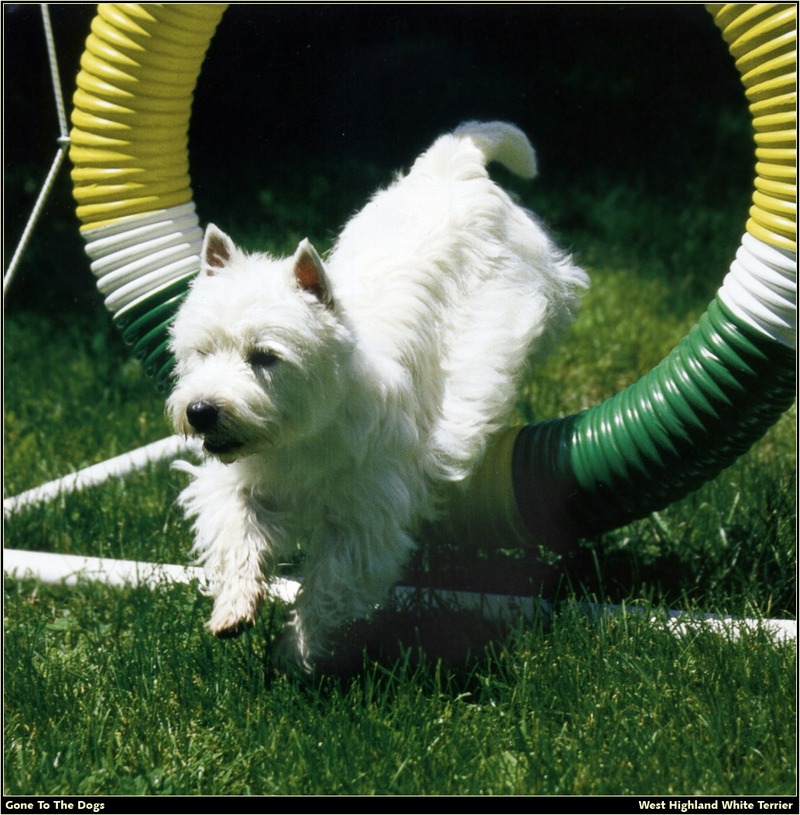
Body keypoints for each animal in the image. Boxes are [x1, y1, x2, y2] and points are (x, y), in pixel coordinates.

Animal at [167, 119, 588, 668]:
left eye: (264, 356)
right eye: (200, 351)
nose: (200, 411)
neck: (304, 434)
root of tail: (453, 163)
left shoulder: (364, 518)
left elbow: (329, 584)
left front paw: (296, 649)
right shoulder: (241, 483)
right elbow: (238, 532)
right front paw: (235, 607)